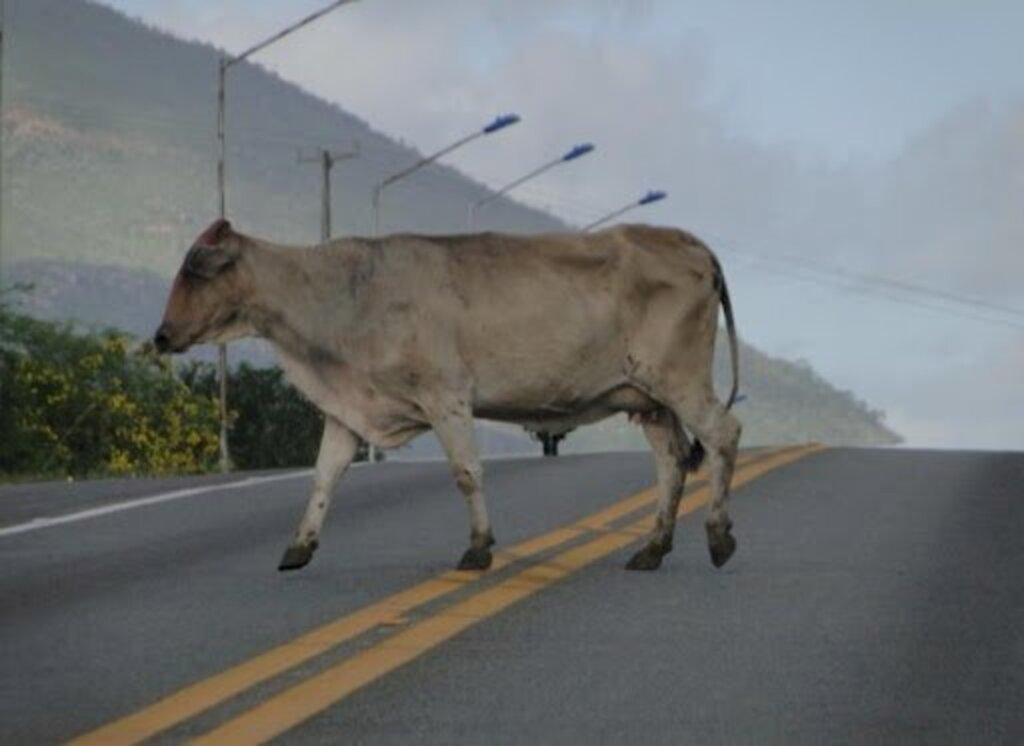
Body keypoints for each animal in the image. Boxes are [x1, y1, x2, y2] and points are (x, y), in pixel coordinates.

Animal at [153, 217, 745, 573]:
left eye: (194, 269)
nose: (160, 335)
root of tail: (689, 241)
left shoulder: (446, 396)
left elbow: (466, 472)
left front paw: (478, 548)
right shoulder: (351, 409)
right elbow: (325, 475)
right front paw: (298, 547)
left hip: (679, 380)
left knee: (723, 434)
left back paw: (718, 537)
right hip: (649, 399)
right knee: (672, 462)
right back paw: (653, 547)